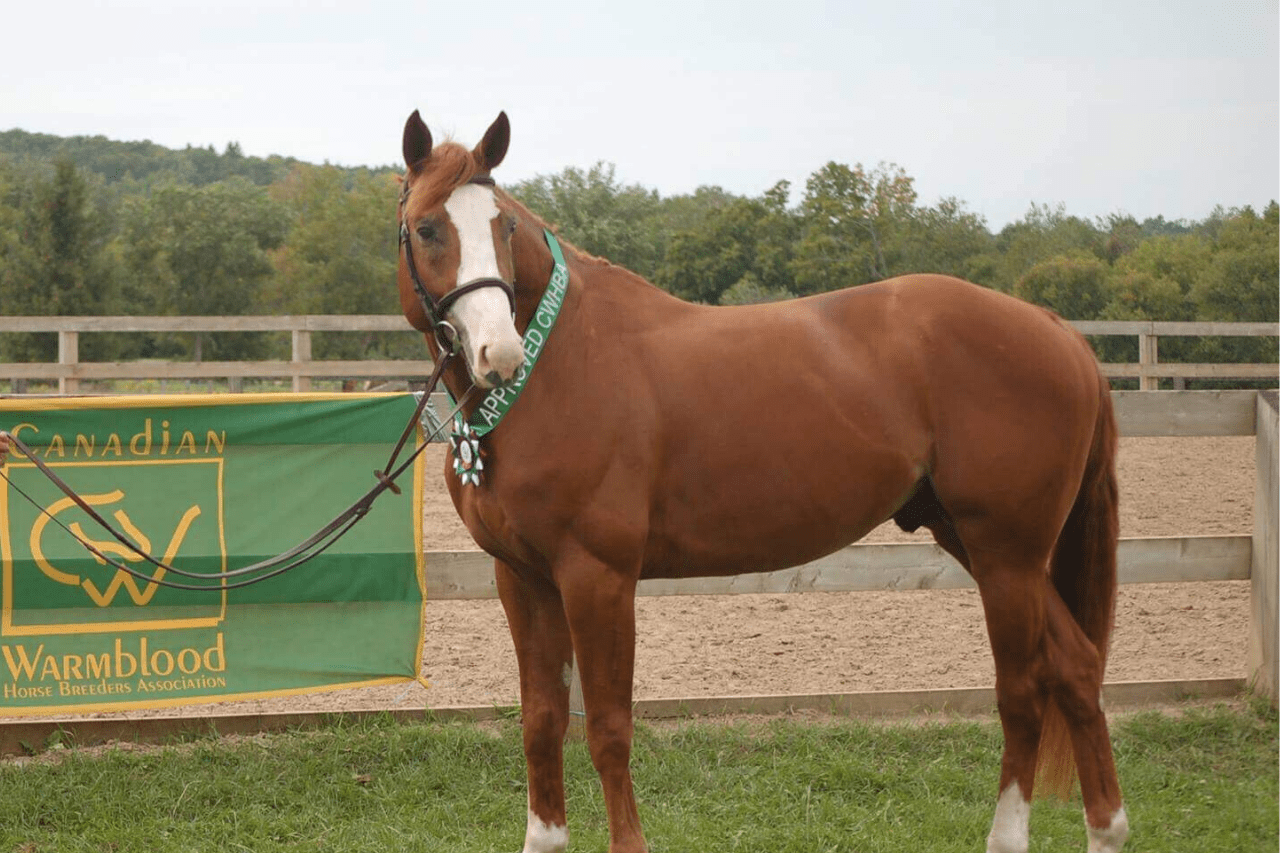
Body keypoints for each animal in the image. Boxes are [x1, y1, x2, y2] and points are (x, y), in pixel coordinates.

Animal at [395, 109, 1128, 853]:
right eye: (427, 227)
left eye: (504, 227)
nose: (499, 352)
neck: (562, 362)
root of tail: (1058, 331)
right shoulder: (524, 578)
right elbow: (542, 721)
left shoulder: (597, 576)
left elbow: (607, 728)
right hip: (983, 546)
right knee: (1076, 669)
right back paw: (1107, 828)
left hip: (1008, 556)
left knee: (1023, 690)